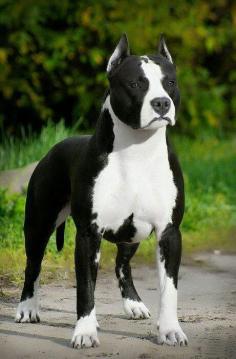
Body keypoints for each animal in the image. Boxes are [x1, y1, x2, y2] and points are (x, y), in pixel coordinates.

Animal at [15, 33, 188, 348]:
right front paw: (84, 332)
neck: (137, 150)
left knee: (122, 264)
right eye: (135, 84)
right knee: (33, 265)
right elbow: (85, 288)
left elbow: (169, 288)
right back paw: (27, 308)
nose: (161, 103)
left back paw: (133, 304)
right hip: (38, 223)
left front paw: (170, 330)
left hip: (131, 235)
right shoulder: (88, 234)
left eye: (170, 82)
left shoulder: (169, 233)